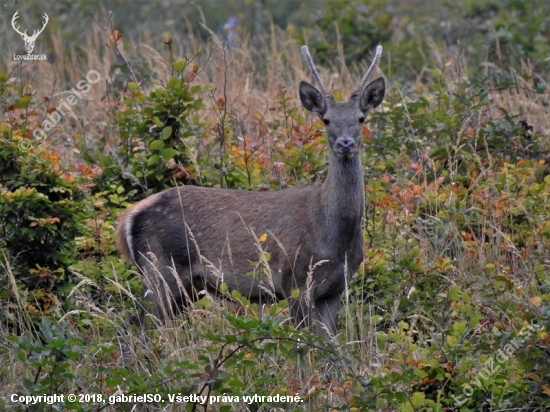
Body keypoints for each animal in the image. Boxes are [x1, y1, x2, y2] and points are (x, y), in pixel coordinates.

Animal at [116, 44, 384, 338]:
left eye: (361, 118)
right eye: (325, 120)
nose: (345, 144)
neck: (334, 235)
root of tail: (129, 217)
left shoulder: (335, 289)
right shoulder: (294, 280)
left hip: (186, 286)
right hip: (160, 269)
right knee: (133, 329)